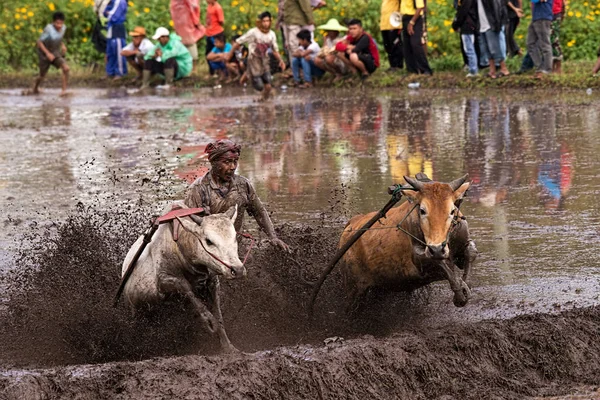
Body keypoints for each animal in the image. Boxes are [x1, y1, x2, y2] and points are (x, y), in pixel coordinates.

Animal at [120, 202, 245, 352]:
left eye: (235, 237)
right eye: (209, 241)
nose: (237, 270)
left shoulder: (213, 282)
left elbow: (219, 315)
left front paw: (228, 347)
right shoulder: (163, 281)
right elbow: (185, 286)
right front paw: (209, 321)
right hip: (133, 309)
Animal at [340, 175, 476, 310]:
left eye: (452, 211)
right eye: (422, 210)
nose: (437, 249)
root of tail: (351, 224)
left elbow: (471, 251)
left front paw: (466, 284)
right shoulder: (419, 260)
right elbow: (440, 264)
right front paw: (460, 292)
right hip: (353, 290)